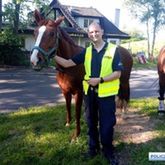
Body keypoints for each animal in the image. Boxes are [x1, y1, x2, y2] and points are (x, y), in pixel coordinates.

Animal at [30, 9, 133, 140]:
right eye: (35, 32)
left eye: (52, 33)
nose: (35, 60)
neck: (69, 66)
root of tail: (127, 52)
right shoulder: (65, 91)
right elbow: (68, 108)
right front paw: (68, 123)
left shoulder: (78, 93)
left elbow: (77, 113)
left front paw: (76, 135)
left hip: (124, 81)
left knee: (125, 94)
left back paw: (124, 113)